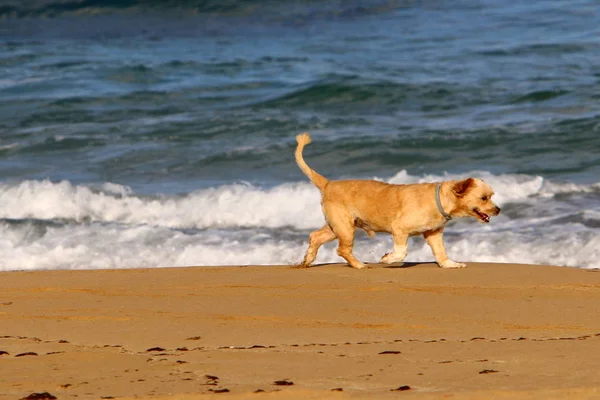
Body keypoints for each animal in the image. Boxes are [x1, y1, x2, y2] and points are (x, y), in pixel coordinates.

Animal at [296, 134, 502, 268]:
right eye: (484, 198)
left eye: (491, 196)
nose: (498, 210)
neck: (439, 200)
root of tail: (328, 184)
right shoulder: (399, 229)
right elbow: (402, 252)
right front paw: (388, 259)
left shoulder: (433, 234)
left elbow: (440, 252)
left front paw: (450, 264)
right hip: (345, 227)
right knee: (342, 250)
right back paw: (360, 265)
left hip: (336, 226)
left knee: (315, 237)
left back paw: (307, 260)